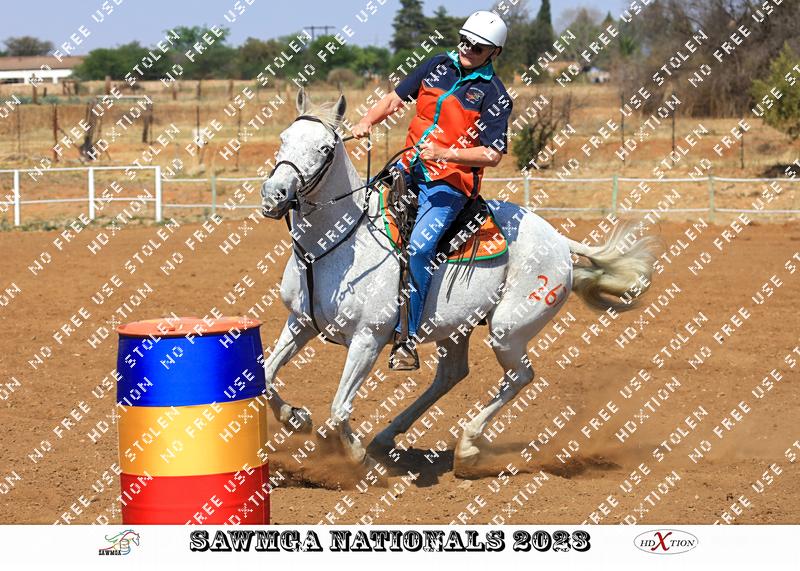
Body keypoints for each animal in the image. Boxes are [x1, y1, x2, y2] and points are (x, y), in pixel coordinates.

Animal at [259, 88, 658, 472]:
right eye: (283, 138)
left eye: (325, 149)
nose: (275, 194)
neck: (339, 243)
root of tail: (559, 239)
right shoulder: (300, 322)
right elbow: (264, 376)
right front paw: (296, 417)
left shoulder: (368, 338)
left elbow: (339, 406)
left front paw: (358, 460)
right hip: (456, 327)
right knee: (452, 375)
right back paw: (388, 437)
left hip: (508, 331)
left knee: (520, 376)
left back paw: (466, 447)